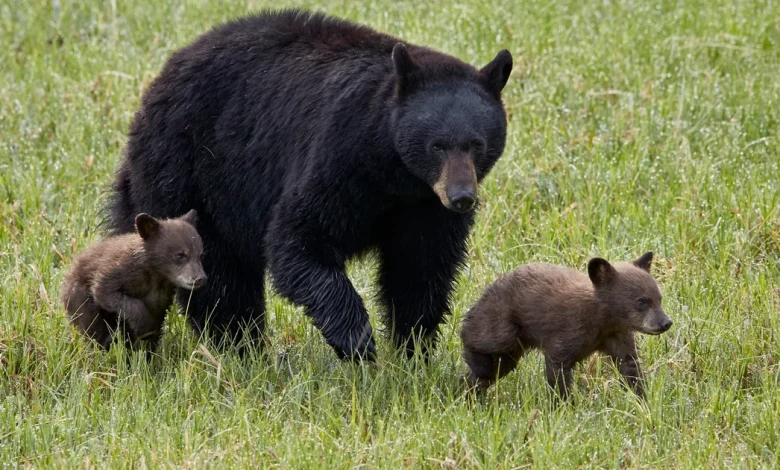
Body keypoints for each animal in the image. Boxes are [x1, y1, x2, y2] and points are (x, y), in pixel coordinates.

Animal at [61, 210, 206, 354]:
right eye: (180, 255)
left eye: (200, 255)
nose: (200, 278)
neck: (156, 274)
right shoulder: (118, 270)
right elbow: (105, 292)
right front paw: (142, 325)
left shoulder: (162, 296)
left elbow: (156, 322)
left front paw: (147, 351)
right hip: (79, 298)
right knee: (93, 326)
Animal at [107, 10, 513, 360]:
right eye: (437, 145)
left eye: (477, 144)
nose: (462, 198)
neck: (395, 174)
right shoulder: (339, 157)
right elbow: (299, 238)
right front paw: (358, 340)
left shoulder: (423, 206)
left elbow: (420, 267)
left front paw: (413, 349)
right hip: (190, 173)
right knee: (220, 277)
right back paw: (242, 348)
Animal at [460, 252, 672, 398]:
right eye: (641, 301)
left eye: (659, 298)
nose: (666, 322)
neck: (602, 320)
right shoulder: (567, 330)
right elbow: (558, 367)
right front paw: (563, 405)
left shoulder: (617, 335)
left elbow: (630, 366)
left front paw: (642, 399)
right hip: (503, 322)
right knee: (484, 344)